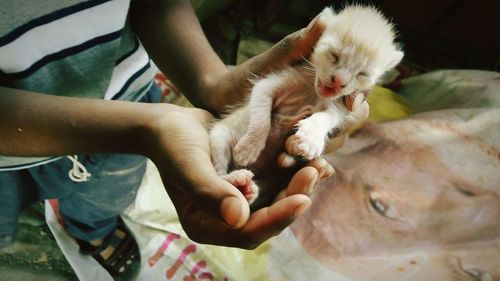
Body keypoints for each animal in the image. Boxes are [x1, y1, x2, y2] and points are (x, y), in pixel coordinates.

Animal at [209, 4, 404, 210]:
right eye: (334, 56)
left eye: (362, 74)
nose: (339, 82)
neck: (311, 89)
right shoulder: (266, 85)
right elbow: (261, 118)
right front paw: (249, 148)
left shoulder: (337, 107)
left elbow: (325, 119)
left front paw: (309, 139)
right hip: (219, 136)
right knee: (219, 172)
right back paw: (235, 178)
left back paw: (250, 190)